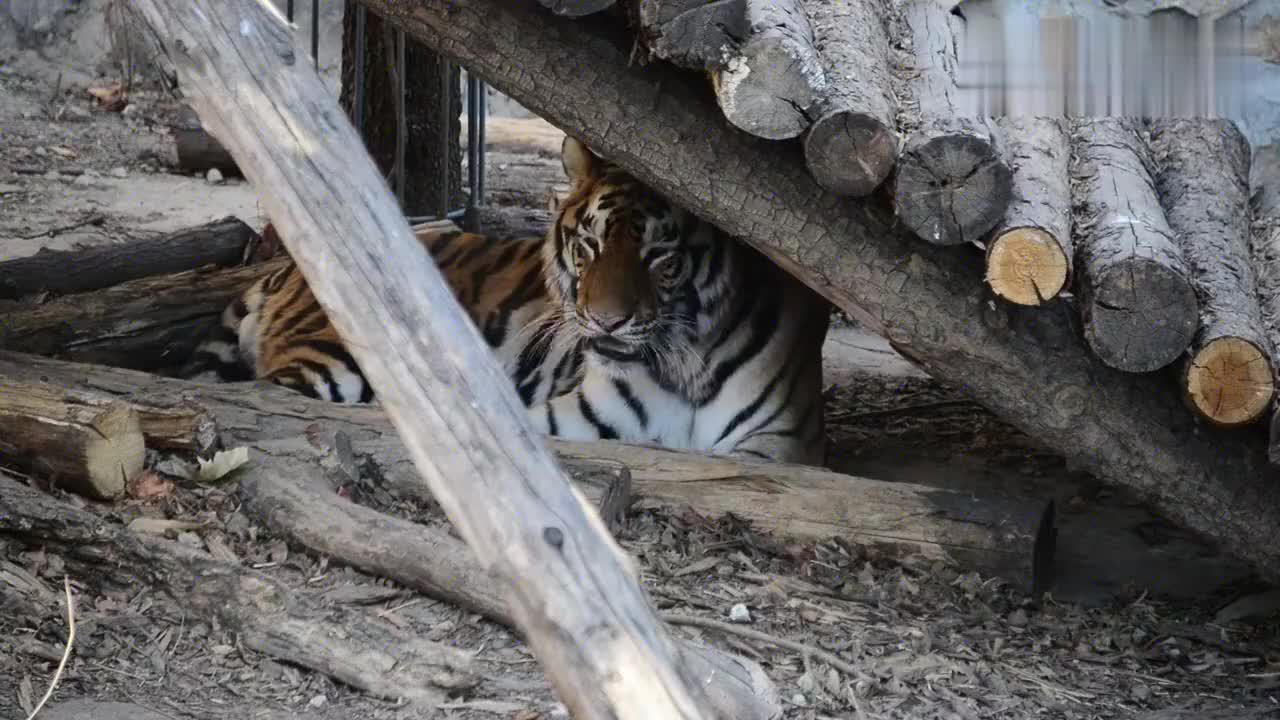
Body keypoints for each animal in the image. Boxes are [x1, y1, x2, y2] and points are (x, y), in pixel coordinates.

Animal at [185, 135, 834, 466]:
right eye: (589, 246)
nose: (605, 321)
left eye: (660, 257)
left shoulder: (778, 447)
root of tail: (287, 266)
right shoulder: (573, 417)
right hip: (337, 357)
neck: (684, 369)